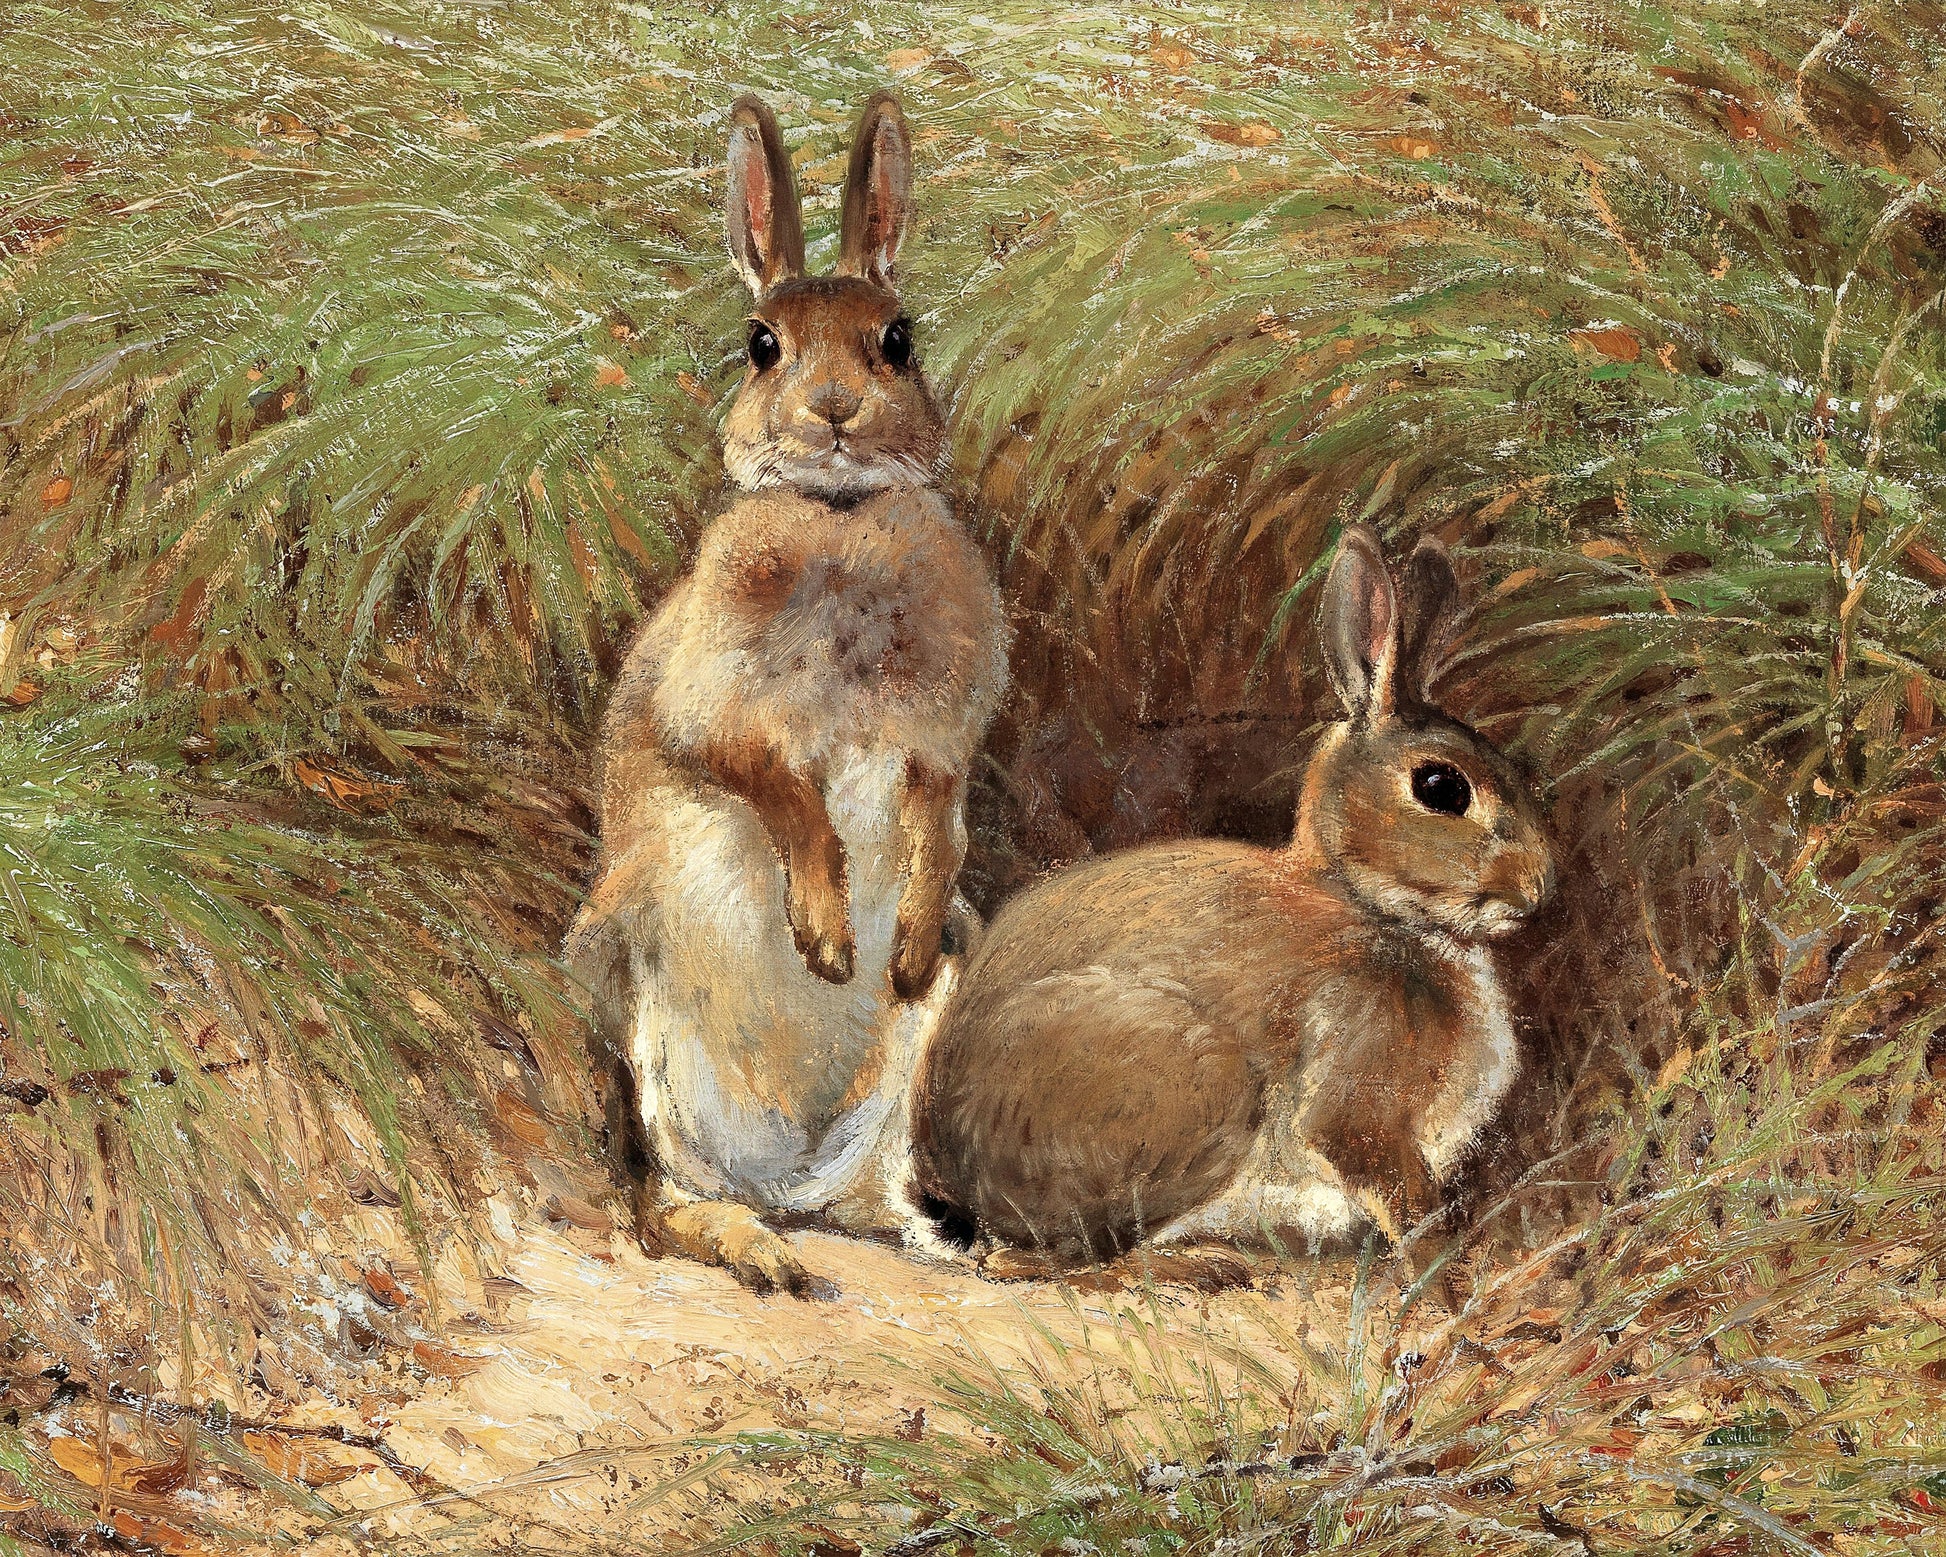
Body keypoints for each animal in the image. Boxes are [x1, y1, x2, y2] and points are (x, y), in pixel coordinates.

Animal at [567, 91, 1008, 1296]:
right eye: (761, 345)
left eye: (899, 338)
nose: (836, 410)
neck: (838, 519)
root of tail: (792, 1174)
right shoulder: (710, 713)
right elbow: (781, 790)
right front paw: (824, 937)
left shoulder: (940, 743)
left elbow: (938, 818)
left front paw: (892, 948)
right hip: (641, 1015)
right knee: (661, 1198)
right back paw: (758, 1250)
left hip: (915, 1053)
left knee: (880, 1196)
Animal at [910, 525, 1552, 1287]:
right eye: (1441, 787)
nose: (1540, 886)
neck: (1368, 903)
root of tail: (949, 1177)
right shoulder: (1357, 1095)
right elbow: (1404, 1196)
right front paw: (1444, 1273)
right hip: (1202, 1089)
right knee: (1049, 1260)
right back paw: (1199, 1264)